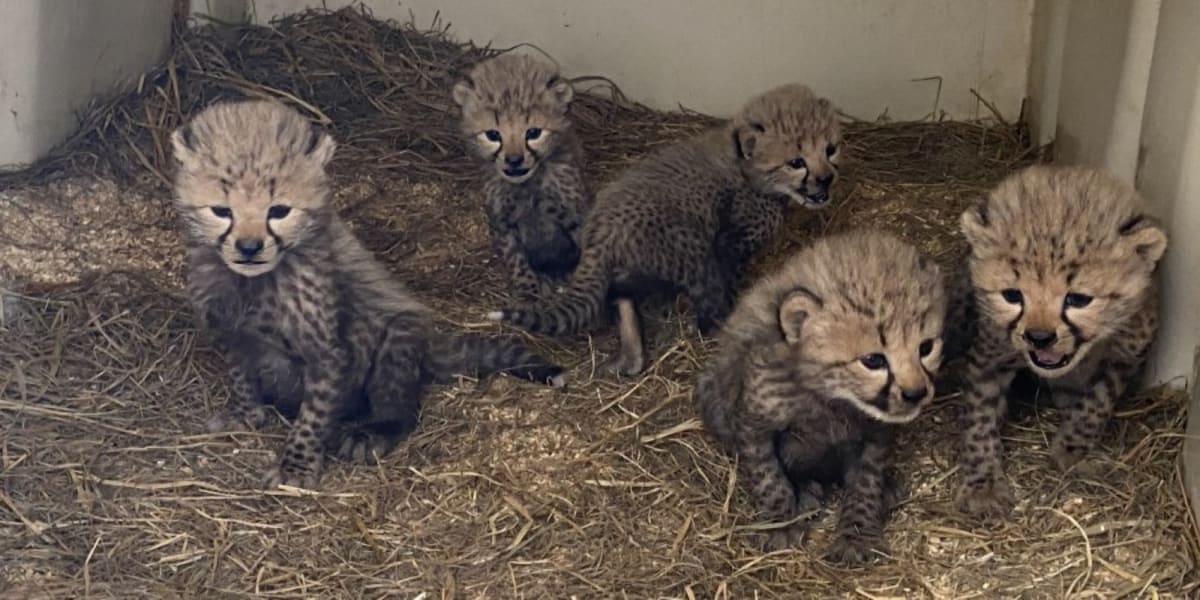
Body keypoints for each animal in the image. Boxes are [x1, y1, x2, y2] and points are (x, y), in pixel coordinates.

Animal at [171, 99, 566, 490]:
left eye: (279, 211)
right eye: (222, 211)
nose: (249, 247)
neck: (252, 283)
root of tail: (431, 342)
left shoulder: (328, 353)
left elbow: (313, 415)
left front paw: (296, 467)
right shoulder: (230, 333)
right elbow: (241, 377)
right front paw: (244, 413)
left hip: (398, 336)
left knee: (401, 408)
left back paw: (372, 433)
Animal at [452, 52, 592, 302]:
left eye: (533, 132)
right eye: (493, 135)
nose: (514, 160)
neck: (528, 186)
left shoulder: (575, 215)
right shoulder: (503, 223)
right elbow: (516, 260)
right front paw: (528, 292)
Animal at [488, 83, 843, 376]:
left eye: (830, 149)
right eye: (796, 162)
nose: (826, 180)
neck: (748, 169)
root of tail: (599, 230)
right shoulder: (728, 243)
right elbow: (728, 281)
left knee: (620, 293)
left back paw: (630, 357)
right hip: (691, 249)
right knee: (702, 303)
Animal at [694, 229, 947, 564]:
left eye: (926, 348)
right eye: (873, 360)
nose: (915, 393)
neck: (830, 398)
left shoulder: (875, 433)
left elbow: (865, 481)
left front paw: (857, 533)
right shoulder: (752, 425)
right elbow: (767, 475)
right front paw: (781, 522)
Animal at [955, 165, 1168, 519]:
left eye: (1078, 299)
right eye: (1012, 295)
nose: (1039, 337)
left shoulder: (1126, 354)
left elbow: (1097, 403)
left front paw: (1073, 447)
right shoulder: (988, 357)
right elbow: (978, 418)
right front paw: (983, 482)